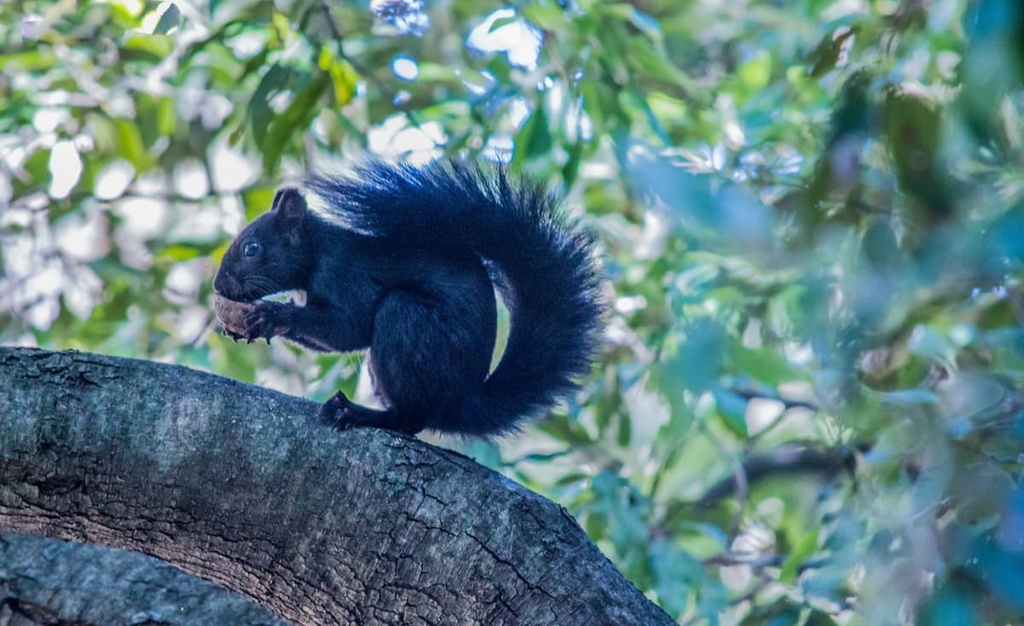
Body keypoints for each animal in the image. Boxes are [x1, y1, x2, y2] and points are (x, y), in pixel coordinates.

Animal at [212, 160, 604, 437]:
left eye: (252, 248)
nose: (218, 285)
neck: (316, 252)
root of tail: (465, 401)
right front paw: (246, 327)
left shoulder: (346, 275)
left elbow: (348, 329)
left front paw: (271, 314)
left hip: (409, 321)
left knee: (412, 418)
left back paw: (358, 413)